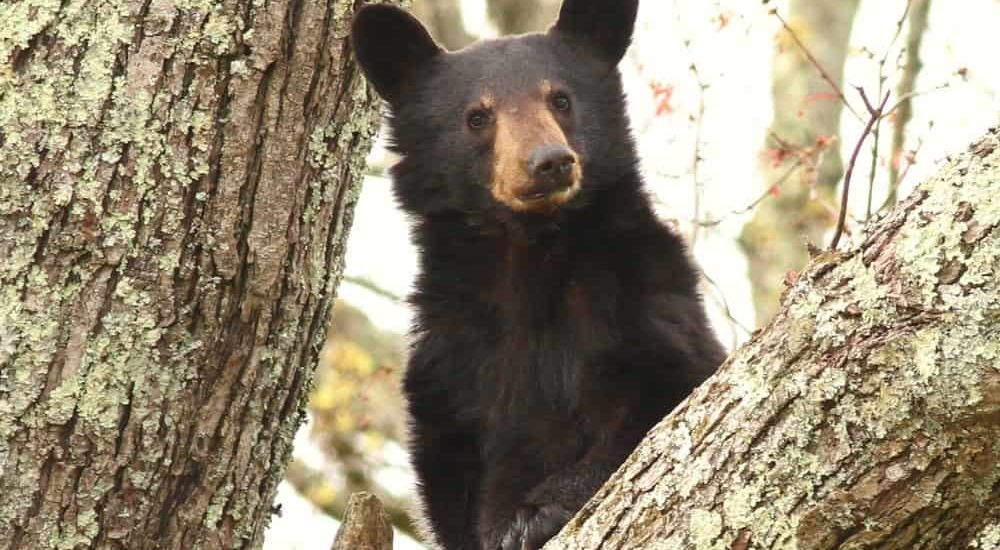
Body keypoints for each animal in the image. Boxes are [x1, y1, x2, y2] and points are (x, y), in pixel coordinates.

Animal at [350, 1, 727, 549]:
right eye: (477, 117)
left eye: (561, 99)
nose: (550, 162)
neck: (528, 253)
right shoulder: (451, 357)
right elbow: (451, 480)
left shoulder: (641, 296)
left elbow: (657, 400)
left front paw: (532, 516)